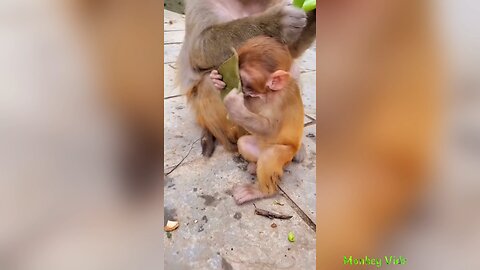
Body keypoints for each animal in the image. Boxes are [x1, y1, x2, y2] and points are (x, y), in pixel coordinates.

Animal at [210, 36, 304, 205]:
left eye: (245, 82)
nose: (242, 89)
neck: (270, 93)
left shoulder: (282, 100)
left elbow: (270, 129)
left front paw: (234, 106)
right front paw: (216, 81)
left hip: (287, 154)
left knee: (269, 156)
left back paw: (260, 191)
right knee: (244, 143)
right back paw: (254, 166)